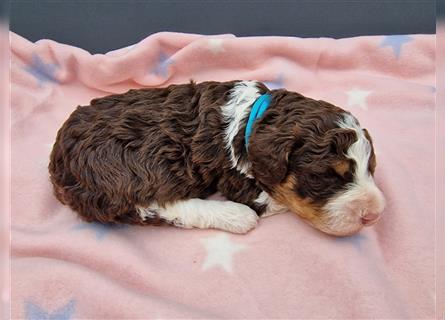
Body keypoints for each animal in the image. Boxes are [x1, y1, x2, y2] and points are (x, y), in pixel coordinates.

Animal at [48, 79, 384, 236]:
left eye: (371, 168)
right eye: (323, 177)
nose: (374, 216)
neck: (253, 117)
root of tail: (59, 160)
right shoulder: (236, 178)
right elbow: (277, 201)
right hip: (129, 169)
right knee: (154, 207)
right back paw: (236, 217)